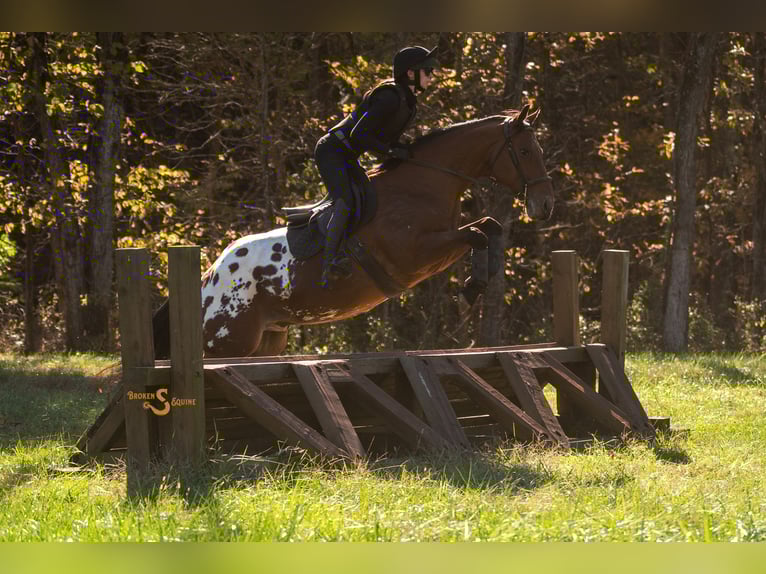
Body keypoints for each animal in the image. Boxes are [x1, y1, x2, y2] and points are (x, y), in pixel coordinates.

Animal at [152, 105, 554, 359]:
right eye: (525, 151)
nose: (545, 204)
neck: (424, 183)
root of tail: (206, 282)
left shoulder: (438, 244)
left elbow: (488, 226)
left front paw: (482, 279)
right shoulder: (417, 254)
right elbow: (477, 233)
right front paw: (472, 288)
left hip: (268, 341)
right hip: (228, 343)